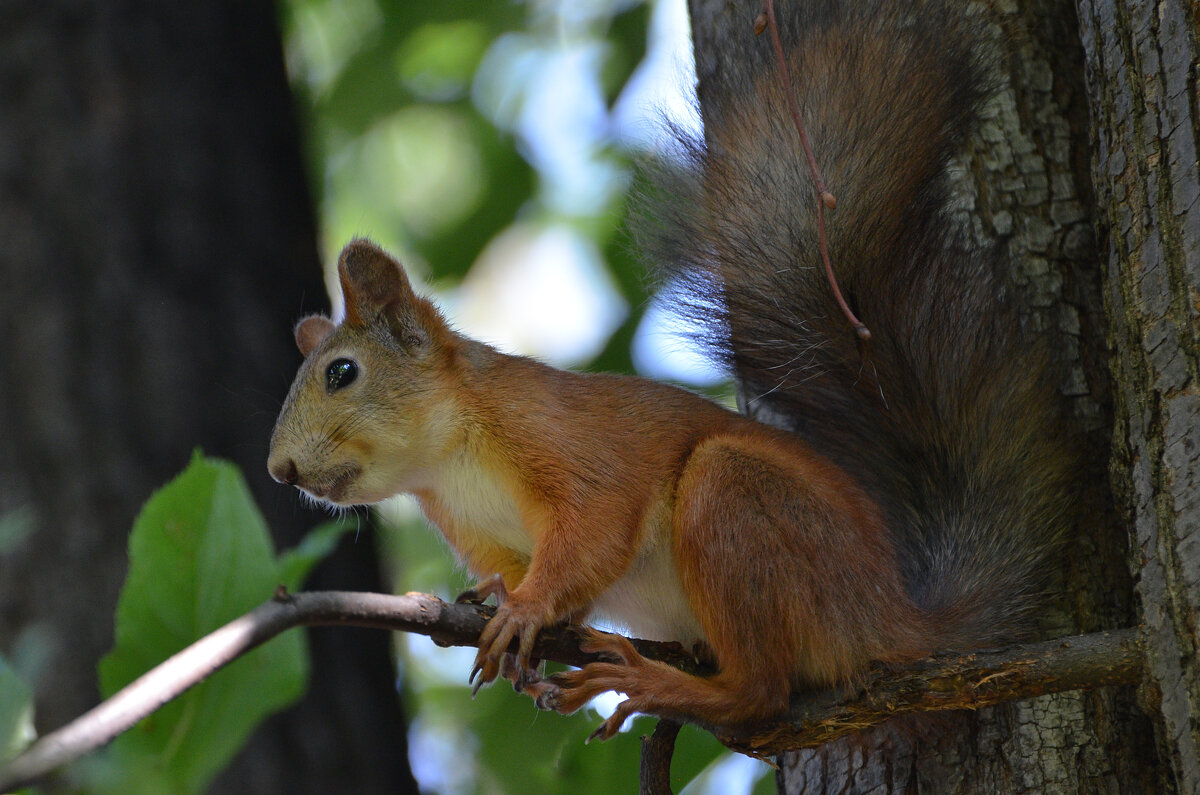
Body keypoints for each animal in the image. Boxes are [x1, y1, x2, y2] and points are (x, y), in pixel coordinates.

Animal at [270, 0, 1070, 744]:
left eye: (341, 372)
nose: (280, 469)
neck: (446, 458)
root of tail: (889, 619)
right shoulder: (477, 528)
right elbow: (544, 578)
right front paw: (500, 603)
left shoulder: (557, 435)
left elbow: (594, 528)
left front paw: (524, 609)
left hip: (737, 500)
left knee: (761, 692)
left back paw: (659, 684)